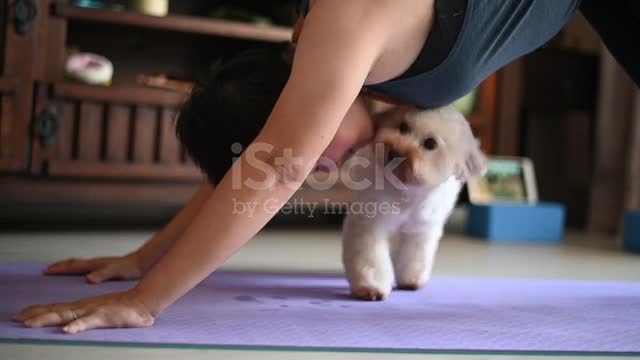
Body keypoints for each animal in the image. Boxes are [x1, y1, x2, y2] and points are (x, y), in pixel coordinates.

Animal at [340, 105, 484, 300]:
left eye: (430, 143)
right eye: (403, 127)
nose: (394, 153)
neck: (407, 193)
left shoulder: (420, 230)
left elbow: (414, 257)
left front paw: (410, 280)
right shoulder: (370, 224)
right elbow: (371, 259)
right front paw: (371, 287)